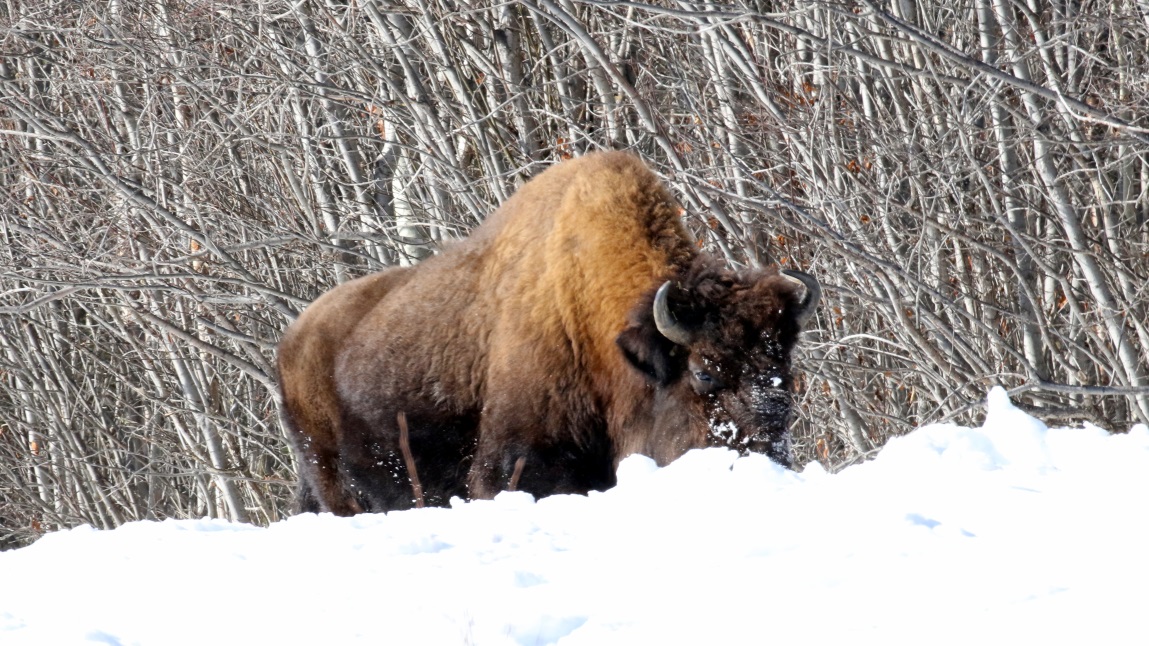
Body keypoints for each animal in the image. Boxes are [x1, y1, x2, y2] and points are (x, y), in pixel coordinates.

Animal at [277, 151, 819, 514]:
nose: (766, 459)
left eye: (785, 369)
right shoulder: (518, 464)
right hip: (335, 479)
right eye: (704, 373)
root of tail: (291, 340)